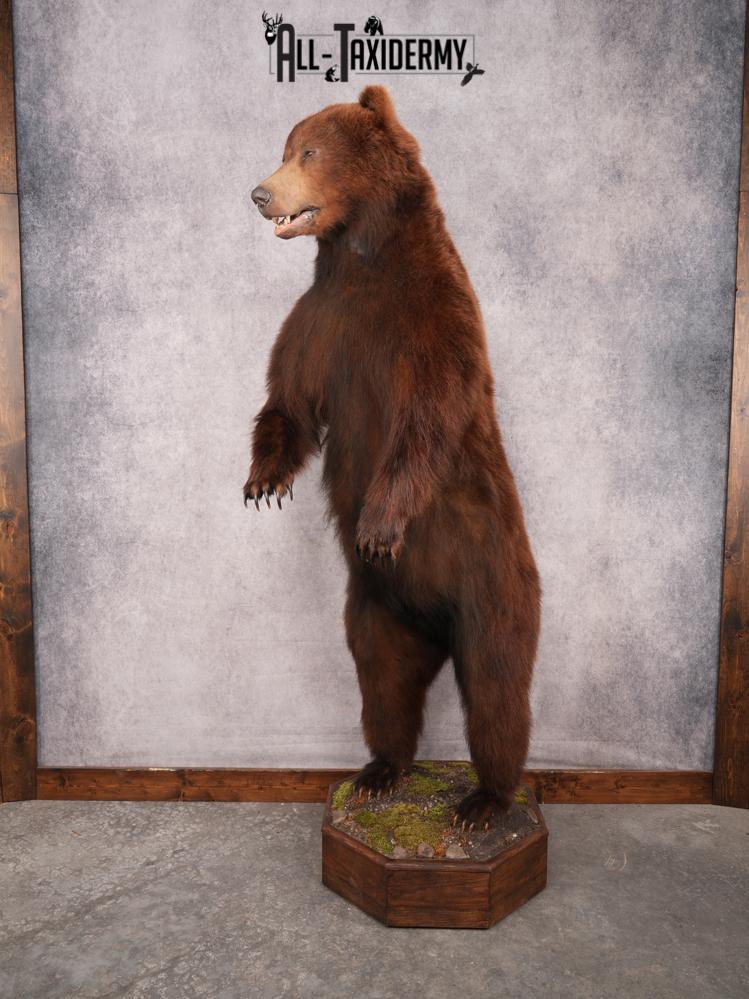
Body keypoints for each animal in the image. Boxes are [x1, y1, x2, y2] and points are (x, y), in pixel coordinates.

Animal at [245, 85, 541, 832]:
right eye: (286, 146)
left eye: (308, 151)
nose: (260, 192)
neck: (361, 259)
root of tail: (433, 623)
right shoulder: (320, 322)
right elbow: (288, 399)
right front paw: (263, 480)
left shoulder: (431, 319)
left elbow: (426, 421)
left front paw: (377, 525)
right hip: (374, 612)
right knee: (382, 684)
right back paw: (379, 772)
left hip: (492, 583)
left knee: (497, 690)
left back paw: (485, 799)